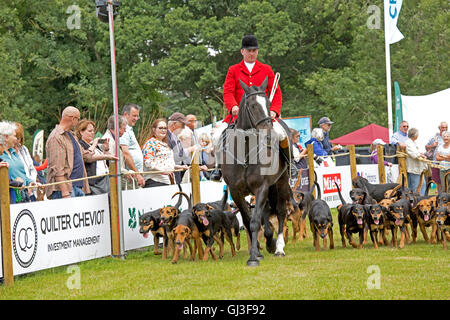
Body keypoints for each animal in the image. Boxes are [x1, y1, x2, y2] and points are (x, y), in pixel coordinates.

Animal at [219, 76, 290, 266]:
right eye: (252, 106)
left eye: (268, 103)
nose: (269, 135)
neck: (245, 152)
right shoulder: (236, 192)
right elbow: (247, 219)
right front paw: (256, 252)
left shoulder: (261, 188)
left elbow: (255, 221)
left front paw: (253, 257)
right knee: (266, 212)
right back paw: (270, 242)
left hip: (281, 182)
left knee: (280, 211)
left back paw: (278, 248)